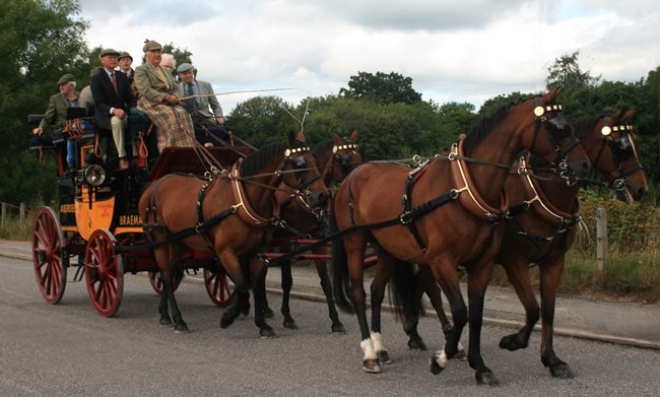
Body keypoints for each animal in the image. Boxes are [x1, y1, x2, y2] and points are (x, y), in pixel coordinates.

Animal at [138, 131, 328, 336]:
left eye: (316, 160)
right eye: (299, 163)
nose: (323, 196)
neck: (240, 202)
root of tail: (153, 186)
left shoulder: (257, 253)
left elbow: (256, 285)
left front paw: (262, 324)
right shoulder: (225, 252)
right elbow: (243, 285)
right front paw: (230, 316)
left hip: (176, 242)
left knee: (170, 274)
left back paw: (165, 315)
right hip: (160, 240)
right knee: (165, 275)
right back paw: (179, 320)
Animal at [266, 130, 360, 332]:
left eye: (360, 156)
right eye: (344, 159)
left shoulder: (318, 241)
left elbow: (326, 282)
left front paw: (336, 321)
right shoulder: (287, 241)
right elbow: (287, 281)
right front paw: (288, 317)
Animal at [332, 89, 592, 384]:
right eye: (559, 127)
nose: (584, 165)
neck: (464, 189)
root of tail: (353, 175)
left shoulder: (483, 262)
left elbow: (476, 315)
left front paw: (480, 365)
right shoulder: (442, 260)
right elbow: (459, 311)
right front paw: (441, 358)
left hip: (388, 248)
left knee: (376, 292)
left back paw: (380, 347)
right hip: (355, 241)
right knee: (359, 292)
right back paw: (369, 354)